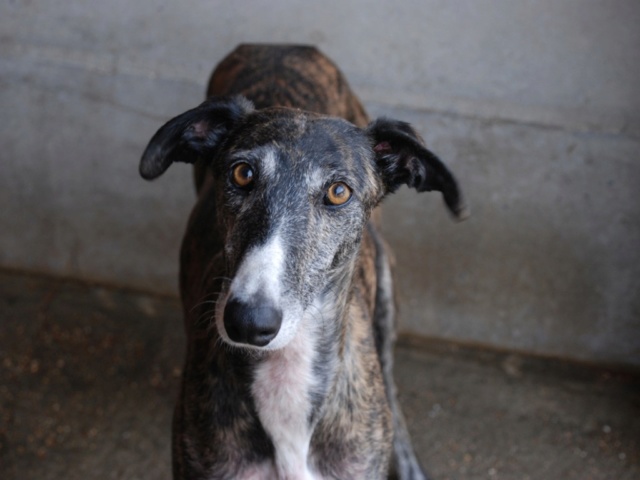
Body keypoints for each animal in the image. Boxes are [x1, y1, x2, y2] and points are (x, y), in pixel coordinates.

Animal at [140, 43, 464, 478]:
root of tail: (277, 46)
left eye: (339, 192)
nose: (248, 322)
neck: (285, 372)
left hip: (386, 292)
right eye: (242, 173)